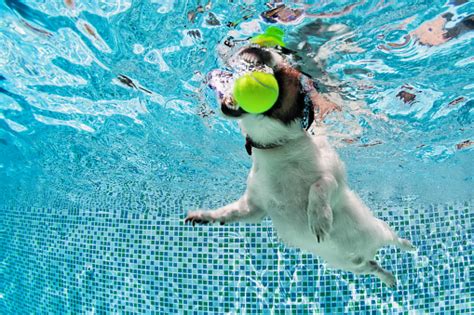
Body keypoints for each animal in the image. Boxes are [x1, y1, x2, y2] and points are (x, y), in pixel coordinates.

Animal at [183, 44, 412, 288]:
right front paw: (205, 216)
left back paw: (408, 245)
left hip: (381, 230)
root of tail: (365, 254)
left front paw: (319, 218)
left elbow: (319, 185)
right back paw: (388, 277)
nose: (257, 48)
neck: (277, 148)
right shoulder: (254, 207)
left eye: (284, 73)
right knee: (374, 266)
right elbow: (230, 212)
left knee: (394, 239)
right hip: (354, 267)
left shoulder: (333, 179)